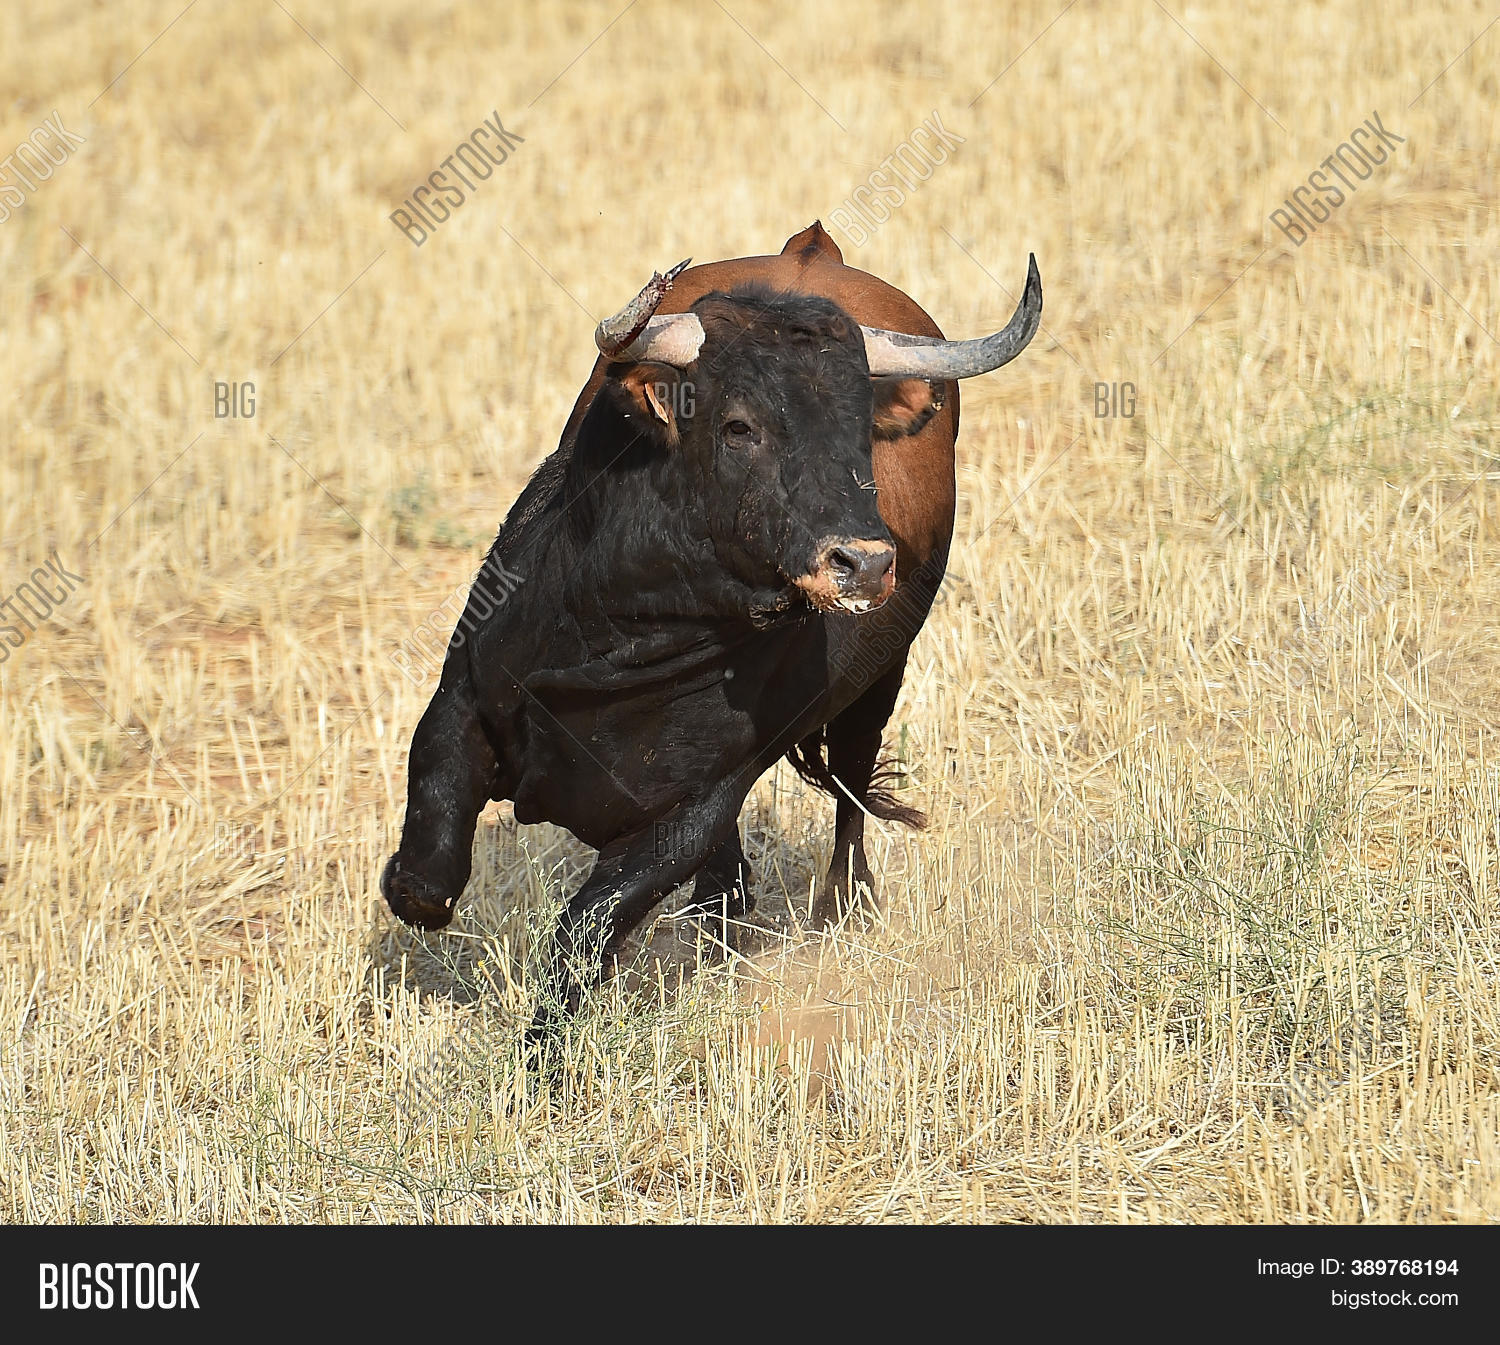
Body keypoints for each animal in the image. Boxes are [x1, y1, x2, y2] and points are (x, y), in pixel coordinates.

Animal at [381, 222, 1041, 1032]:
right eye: (739, 426)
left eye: (861, 433)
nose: (864, 562)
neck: (625, 638)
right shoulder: (462, 698)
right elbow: (426, 872)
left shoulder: (697, 804)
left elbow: (586, 927)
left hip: (883, 680)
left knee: (851, 784)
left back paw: (840, 904)